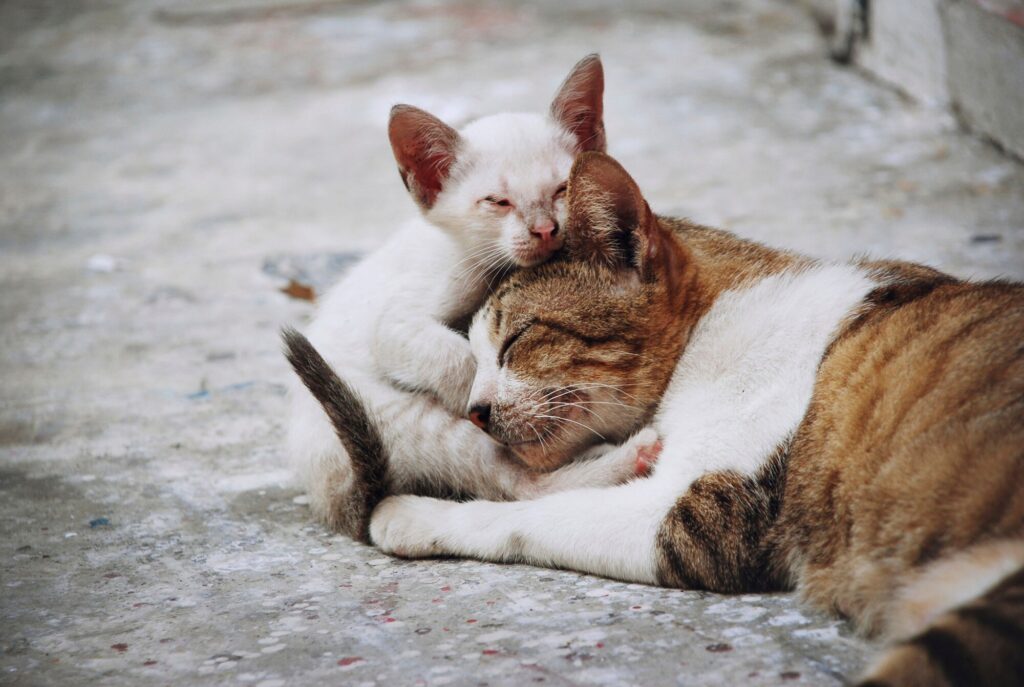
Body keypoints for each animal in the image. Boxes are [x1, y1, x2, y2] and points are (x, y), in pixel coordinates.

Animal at [288, 56, 655, 544]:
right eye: (498, 202)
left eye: (562, 189)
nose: (545, 229)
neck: (494, 266)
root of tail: (330, 499)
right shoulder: (399, 321)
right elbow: (460, 360)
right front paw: (503, 393)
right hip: (411, 418)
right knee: (523, 484)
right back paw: (628, 454)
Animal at [288, 153, 1024, 683]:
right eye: (469, 353)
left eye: (517, 339)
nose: (472, 411)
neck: (716, 325)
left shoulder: (699, 515)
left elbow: (529, 518)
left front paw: (417, 514)